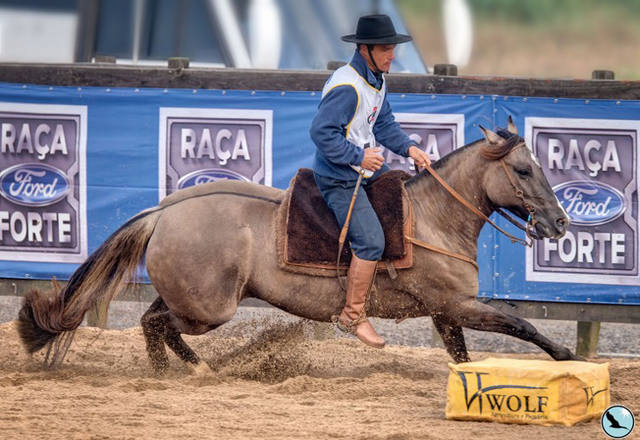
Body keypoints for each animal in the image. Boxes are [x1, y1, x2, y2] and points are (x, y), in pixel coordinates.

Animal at [16, 118, 580, 372]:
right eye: (523, 169)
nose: (559, 223)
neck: (432, 219)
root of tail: (163, 212)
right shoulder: (456, 303)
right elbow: (521, 324)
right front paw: (567, 355)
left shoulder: (446, 312)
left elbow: (463, 355)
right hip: (210, 308)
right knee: (155, 322)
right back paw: (190, 370)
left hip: (192, 297)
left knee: (153, 321)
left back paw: (179, 371)